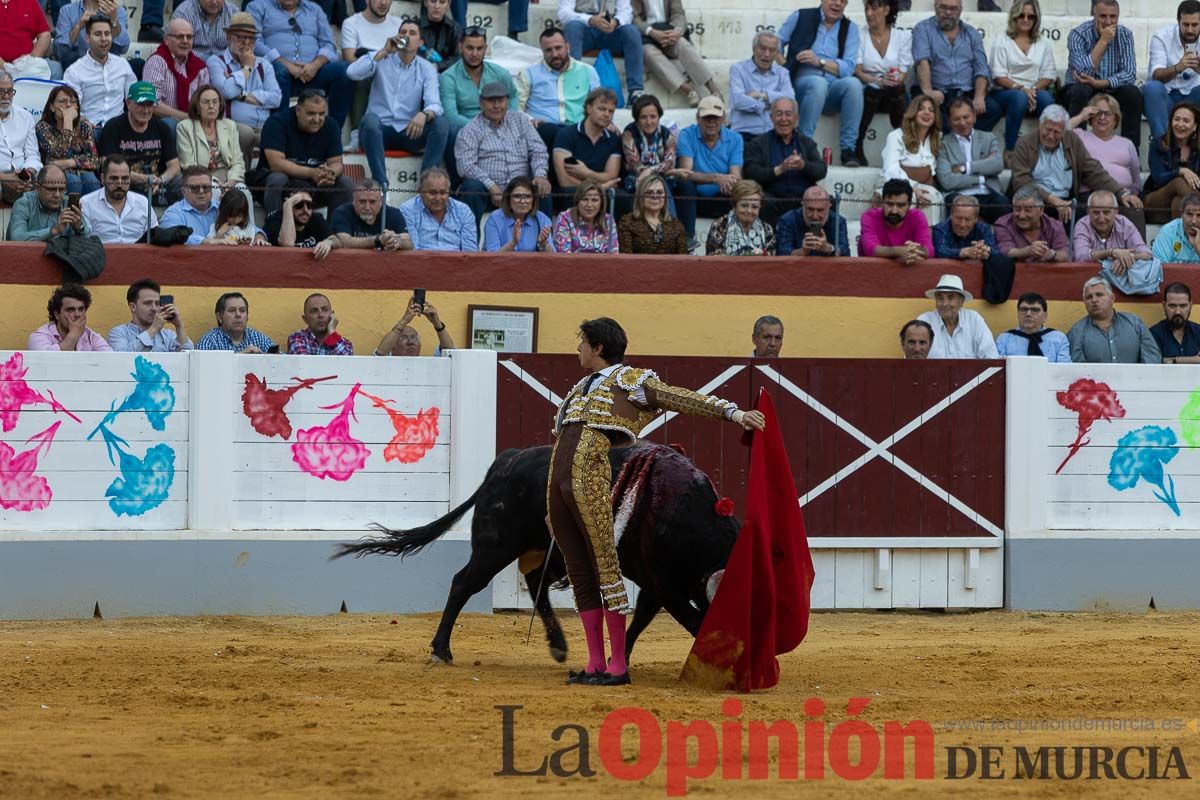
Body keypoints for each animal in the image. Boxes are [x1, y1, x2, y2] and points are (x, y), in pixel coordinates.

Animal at [331, 441, 739, 666]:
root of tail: (505, 462)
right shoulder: (664, 582)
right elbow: (695, 621)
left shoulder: (658, 585)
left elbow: (641, 622)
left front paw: (615, 658)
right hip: (495, 547)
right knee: (463, 583)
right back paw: (441, 650)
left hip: (548, 550)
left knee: (533, 581)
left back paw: (558, 645)